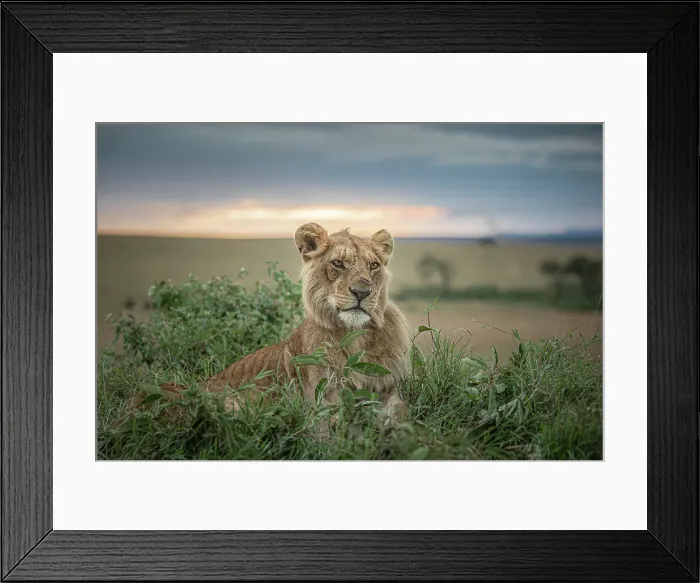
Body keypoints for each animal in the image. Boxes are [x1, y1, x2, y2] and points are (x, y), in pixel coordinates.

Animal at [155, 223, 412, 423]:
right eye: (338, 263)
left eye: (374, 266)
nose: (362, 292)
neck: (355, 336)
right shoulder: (320, 400)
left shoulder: (390, 387)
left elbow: (402, 410)